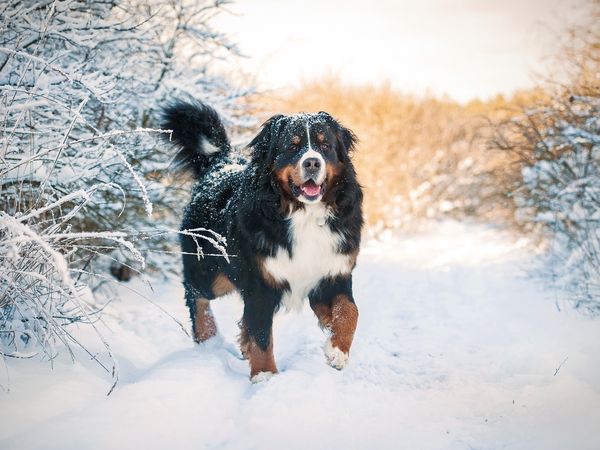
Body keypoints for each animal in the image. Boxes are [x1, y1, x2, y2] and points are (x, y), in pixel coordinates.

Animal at [162, 100, 364, 382]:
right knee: (196, 294)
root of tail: (220, 164)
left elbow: (349, 312)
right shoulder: (260, 283)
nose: (313, 162)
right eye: (292, 146)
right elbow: (261, 335)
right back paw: (207, 337)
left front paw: (337, 352)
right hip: (212, 274)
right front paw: (264, 375)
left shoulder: (333, 273)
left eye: (326, 146)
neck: (303, 214)